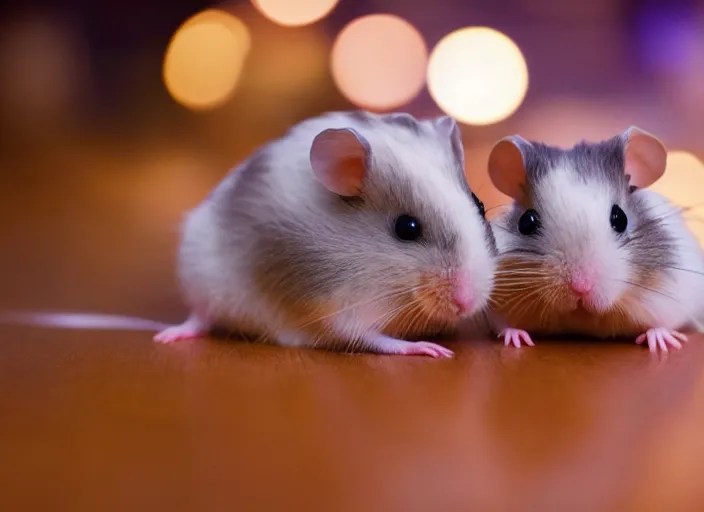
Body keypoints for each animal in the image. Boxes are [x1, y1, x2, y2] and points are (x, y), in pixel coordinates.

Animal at [155, 111, 496, 357]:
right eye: (406, 228)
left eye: (480, 205)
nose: (468, 303)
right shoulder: (337, 305)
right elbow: (374, 338)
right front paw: (430, 349)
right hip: (200, 274)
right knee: (199, 316)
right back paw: (167, 336)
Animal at [487, 127, 704, 352]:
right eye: (526, 222)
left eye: (620, 218)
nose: (581, 287)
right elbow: (504, 325)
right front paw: (516, 338)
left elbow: (662, 324)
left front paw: (661, 342)